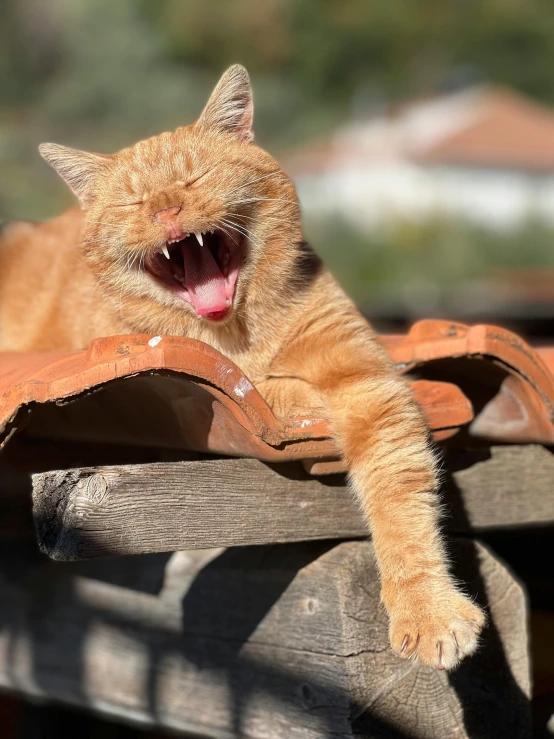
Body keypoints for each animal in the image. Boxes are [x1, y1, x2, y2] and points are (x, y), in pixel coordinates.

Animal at [0, 66, 484, 672]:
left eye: (196, 177)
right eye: (135, 202)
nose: (165, 209)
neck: (238, 334)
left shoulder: (368, 383)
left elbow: (403, 501)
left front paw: (427, 608)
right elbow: (278, 389)